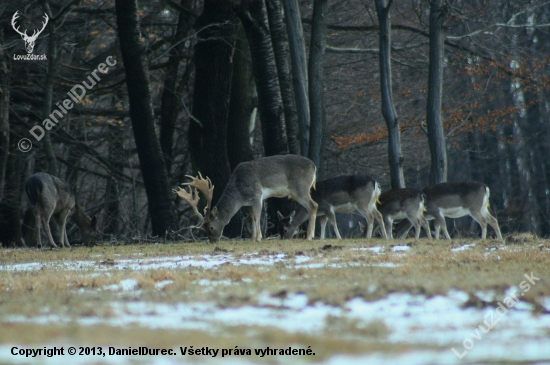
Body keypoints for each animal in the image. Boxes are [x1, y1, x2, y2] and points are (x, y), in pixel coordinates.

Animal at [172, 154, 320, 242]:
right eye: (203, 228)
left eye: (211, 227)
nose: (213, 241)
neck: (239, 194)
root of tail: (314, 166)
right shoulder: (249, 202)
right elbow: (251, 216)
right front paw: (252, 238)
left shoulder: (256, 194)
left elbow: (257, 215)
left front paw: (258, 238)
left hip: (300, 188)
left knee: (313, 205)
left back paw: (309, 236)